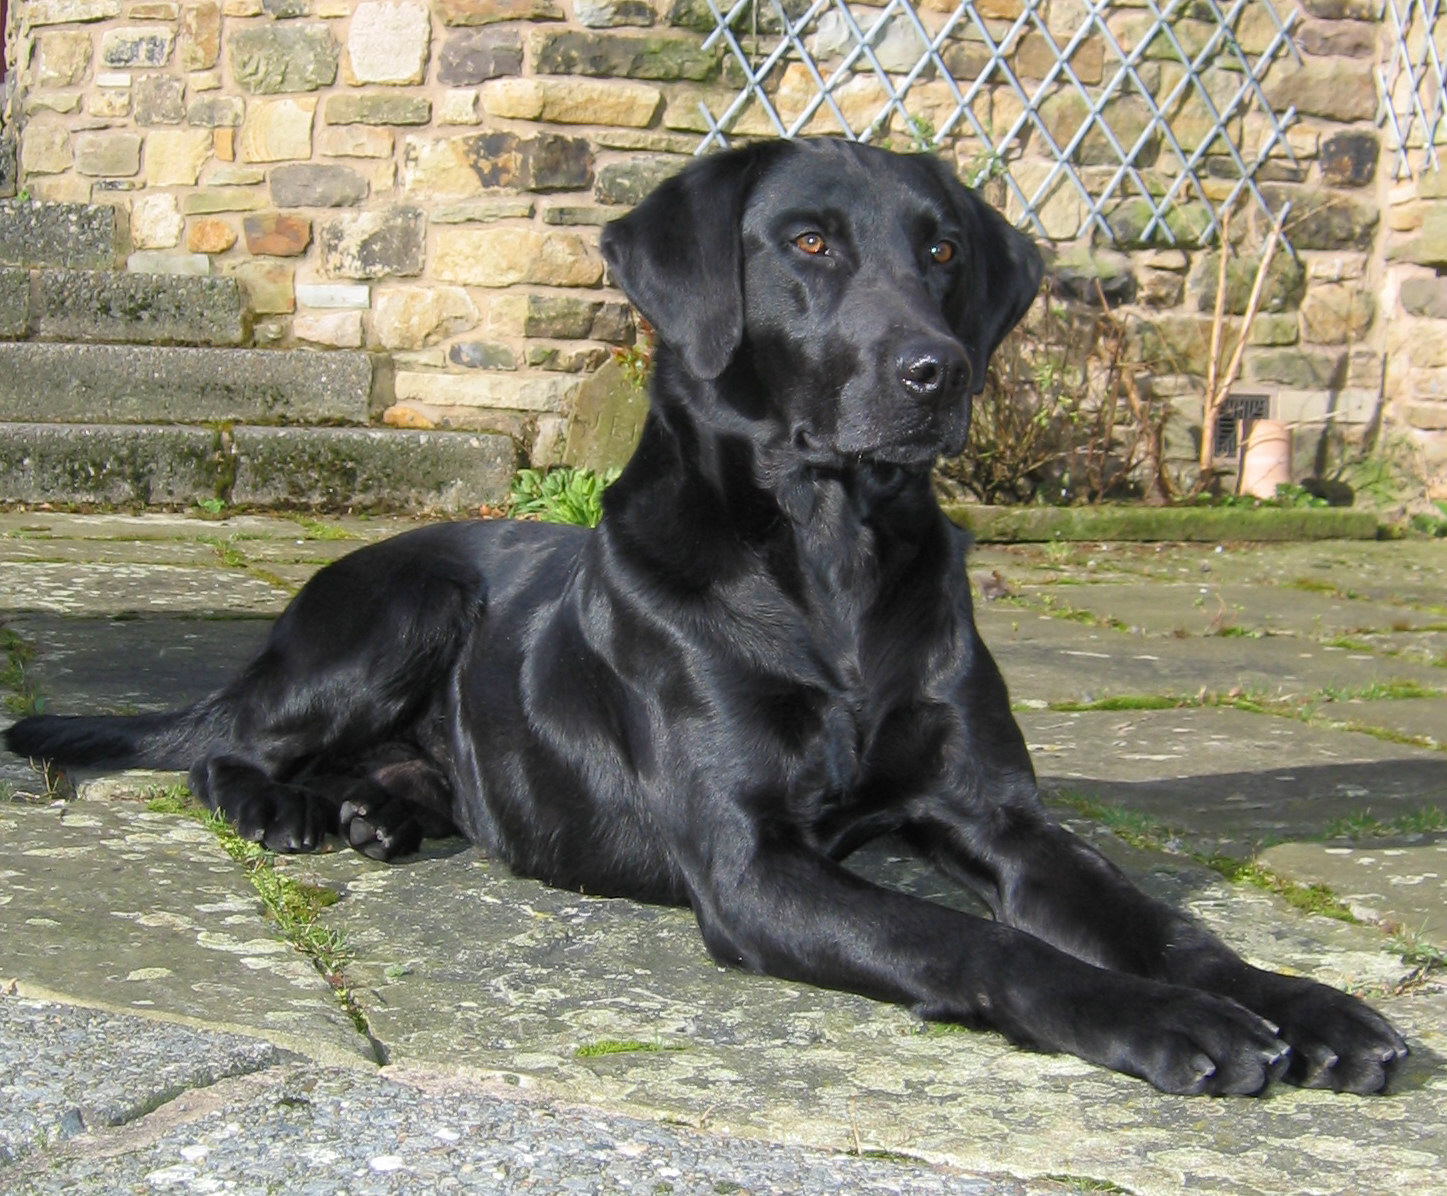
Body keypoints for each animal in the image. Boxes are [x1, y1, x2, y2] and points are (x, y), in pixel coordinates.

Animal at [5, 138, 1406, 1093]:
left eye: (943, 251)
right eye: (809, 244)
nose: (938, 373)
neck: (831, 562)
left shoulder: (1000, 816)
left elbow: (1160, 922)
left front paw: (1290, 998)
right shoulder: (749, 863)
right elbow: (966, 938)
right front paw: (1169, 1021)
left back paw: (377, 809)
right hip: (393, 609)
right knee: (216, 744)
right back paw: (282, 804)